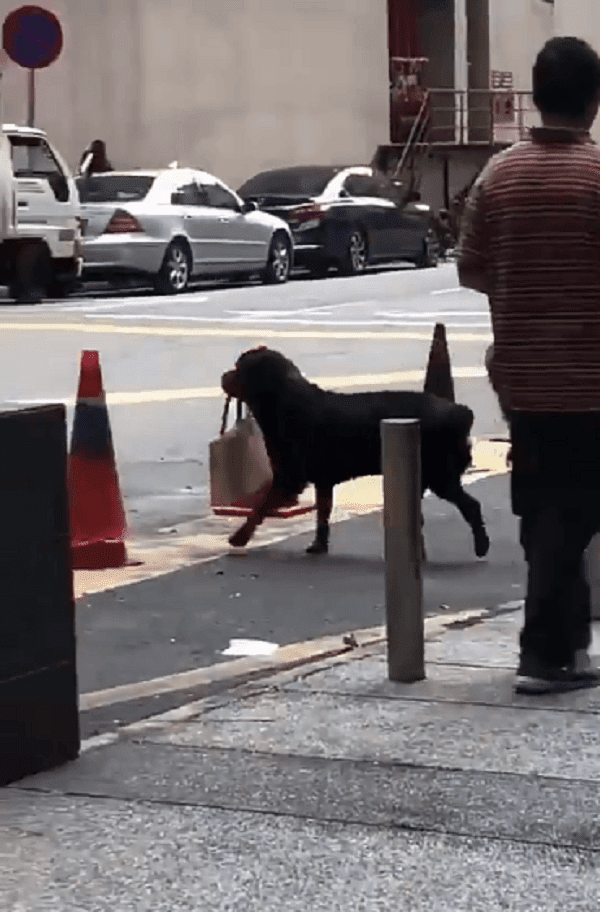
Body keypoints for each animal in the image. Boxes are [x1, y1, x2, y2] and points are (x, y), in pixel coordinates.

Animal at [223, 350, 490, 560]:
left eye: (239, 369)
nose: (222, 375)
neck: (281, 401)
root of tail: (460, 411)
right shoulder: (323, 480)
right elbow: (322, 514)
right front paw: (319, 544)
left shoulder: (289, 478)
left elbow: (260, 508)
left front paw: (239, 537)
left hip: (440, 475)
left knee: (472, 505)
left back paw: (481, 545)